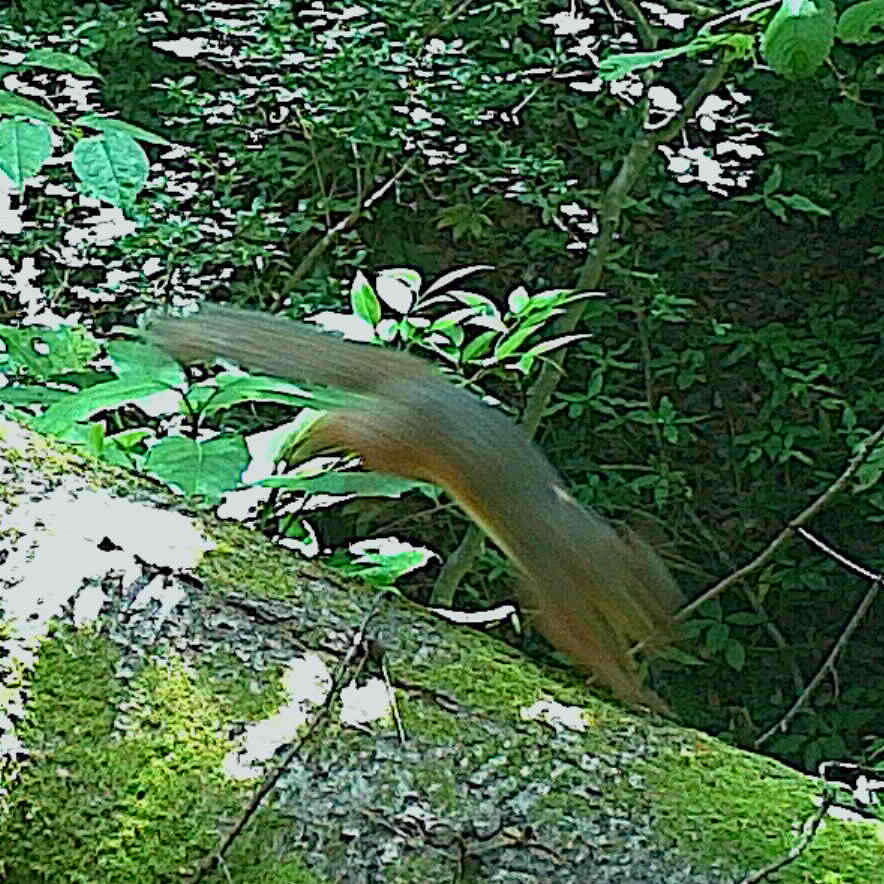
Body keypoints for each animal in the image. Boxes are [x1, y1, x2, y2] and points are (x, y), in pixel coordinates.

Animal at [150, 304, 684, 712]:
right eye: (648, 604)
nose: (670, 642)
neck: (586, 542)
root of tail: (420, 377)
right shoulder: (555, 580)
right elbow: (573, 635)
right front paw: (641, 693)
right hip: (395, 437)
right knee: (340, 421)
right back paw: (302, 444)